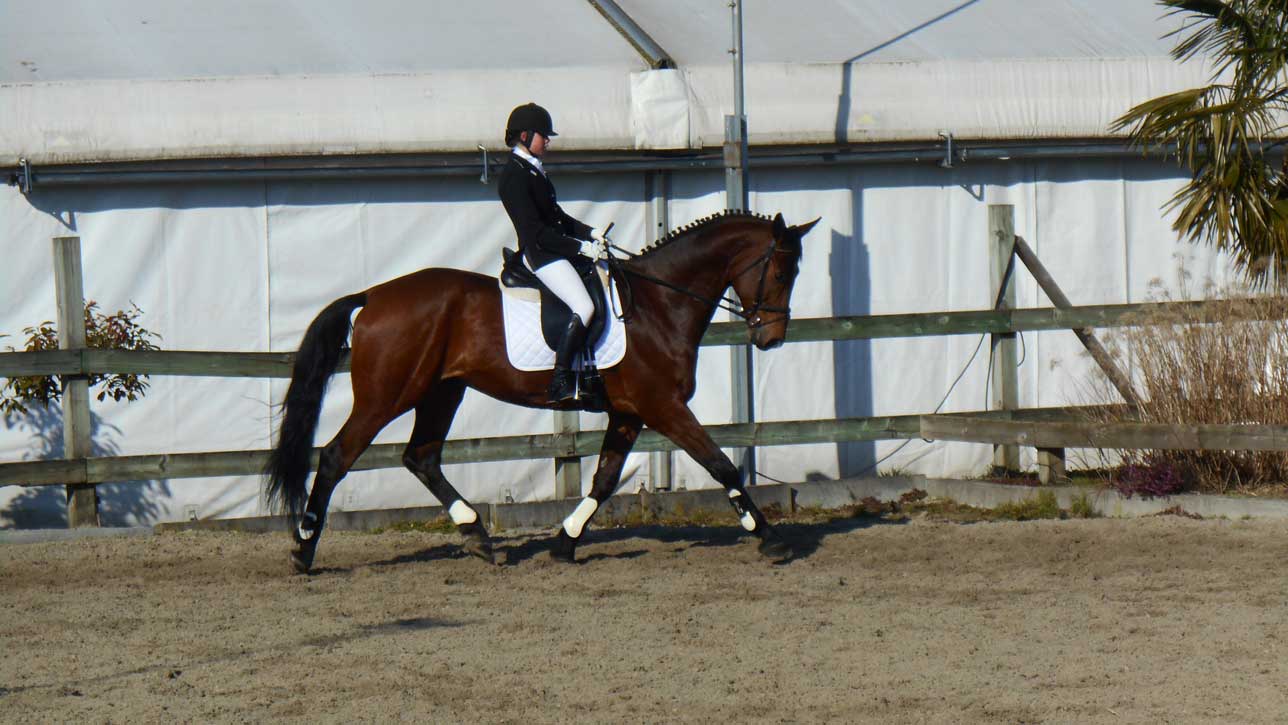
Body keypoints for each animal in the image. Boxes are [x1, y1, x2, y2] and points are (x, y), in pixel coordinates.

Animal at [265, 210, 821, 573]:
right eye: (779, 270)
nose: (771, 340)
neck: (659, 305)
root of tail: (372, 295)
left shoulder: (629, 412)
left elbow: (603, 480)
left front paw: (564, 543)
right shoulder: (663, 406)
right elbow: (720, 463)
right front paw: (770, 538)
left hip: (442, 392)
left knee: (420, 457)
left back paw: (478, 537)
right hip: (387, 395)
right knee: (336, 456)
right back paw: (303, 550)